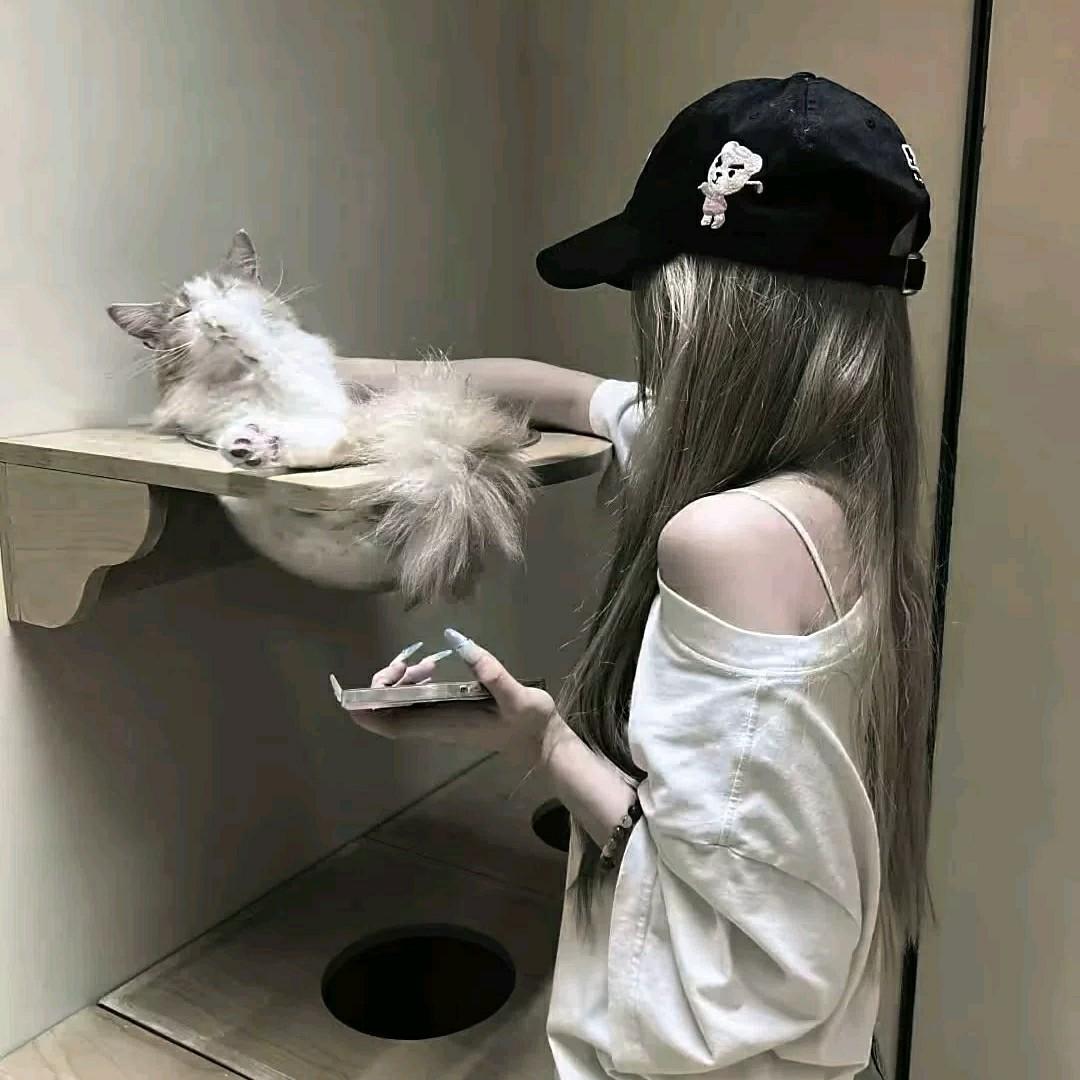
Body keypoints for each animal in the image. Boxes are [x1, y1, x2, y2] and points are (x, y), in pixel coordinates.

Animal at [107, 230, 533, 604]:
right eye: (182, 311)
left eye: (226, 289)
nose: (206, 314)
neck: (244, 381)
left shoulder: (312, 392)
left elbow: (272, 356)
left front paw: (232, 322)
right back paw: (253, 447)